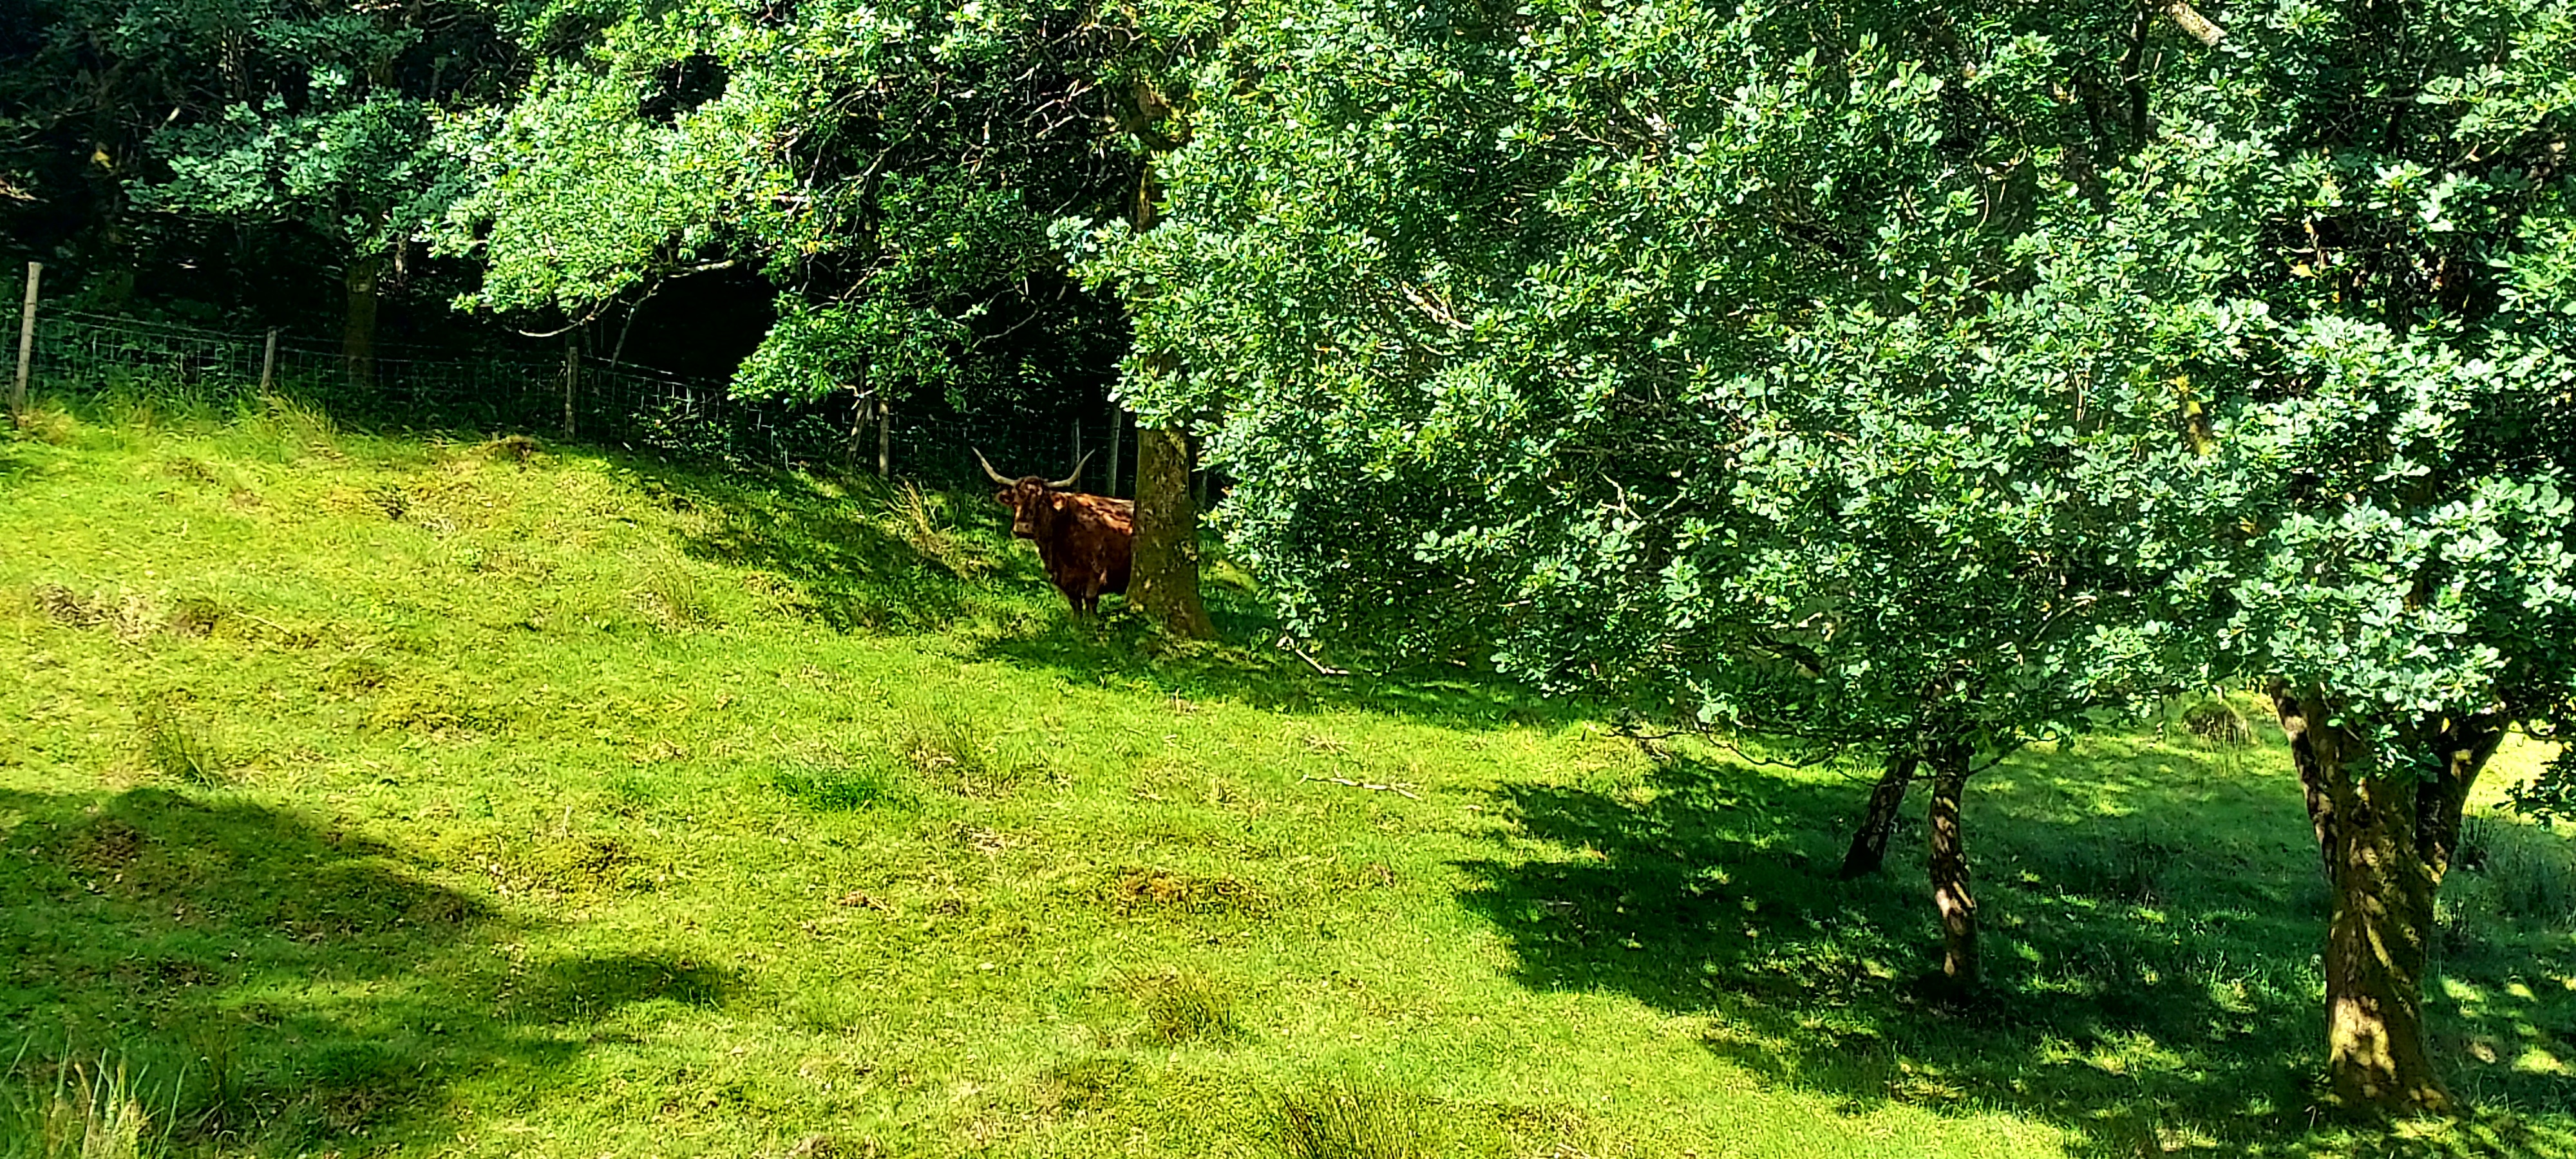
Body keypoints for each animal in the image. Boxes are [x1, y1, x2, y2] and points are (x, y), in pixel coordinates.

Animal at [977, 448, 1135, 614]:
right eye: (1015, 501)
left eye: (1041, 502)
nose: (1022, 527)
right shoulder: (1068, 584)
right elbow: (1076, 607)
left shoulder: (1096, 575)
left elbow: (1091, 605)